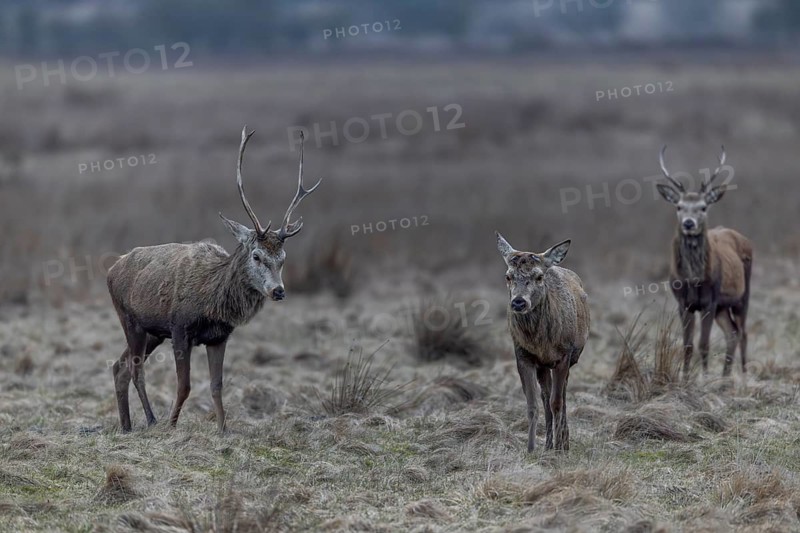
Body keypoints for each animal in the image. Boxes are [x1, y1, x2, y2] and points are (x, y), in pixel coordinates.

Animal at [106, 126, 321, 433]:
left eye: (283, 257)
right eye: (256, 255)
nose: (278, 291)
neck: (212, 300)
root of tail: (111, 270)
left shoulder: (219, 337)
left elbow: (217, 385)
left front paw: (223, 429)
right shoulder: (180, 328)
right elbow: (184, 385)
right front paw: (172, 426)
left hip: (152, 332)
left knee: (118, 366)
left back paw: (126, 425)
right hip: (130, 319)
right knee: (136, 370)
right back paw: (151, 419)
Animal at [496, 233, 590, 453]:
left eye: (538, 277)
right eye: (508, 276)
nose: (519, 302)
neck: (541, 342)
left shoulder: (564, 354)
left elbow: (557, 402)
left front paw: (560, 449)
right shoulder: (523, 355)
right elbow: (532, 405)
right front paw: (531, 449)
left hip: (569, 358)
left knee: (561, 395)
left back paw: (563, 442)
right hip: (543, 366)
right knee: (546, 397)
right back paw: (548, 444)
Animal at [655, 145, 753, 378]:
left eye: (703, 207)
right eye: (679, 206)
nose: (689, 223)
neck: (694, 278)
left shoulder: (710, 300)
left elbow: (704, 344)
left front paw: (704, 377)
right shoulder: (683, 303)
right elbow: (688, 345)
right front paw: (685, 377)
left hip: (741, 296)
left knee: (743, 332)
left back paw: (744, 374)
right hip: (723, 307)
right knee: (732, 333)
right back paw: (725, 376)